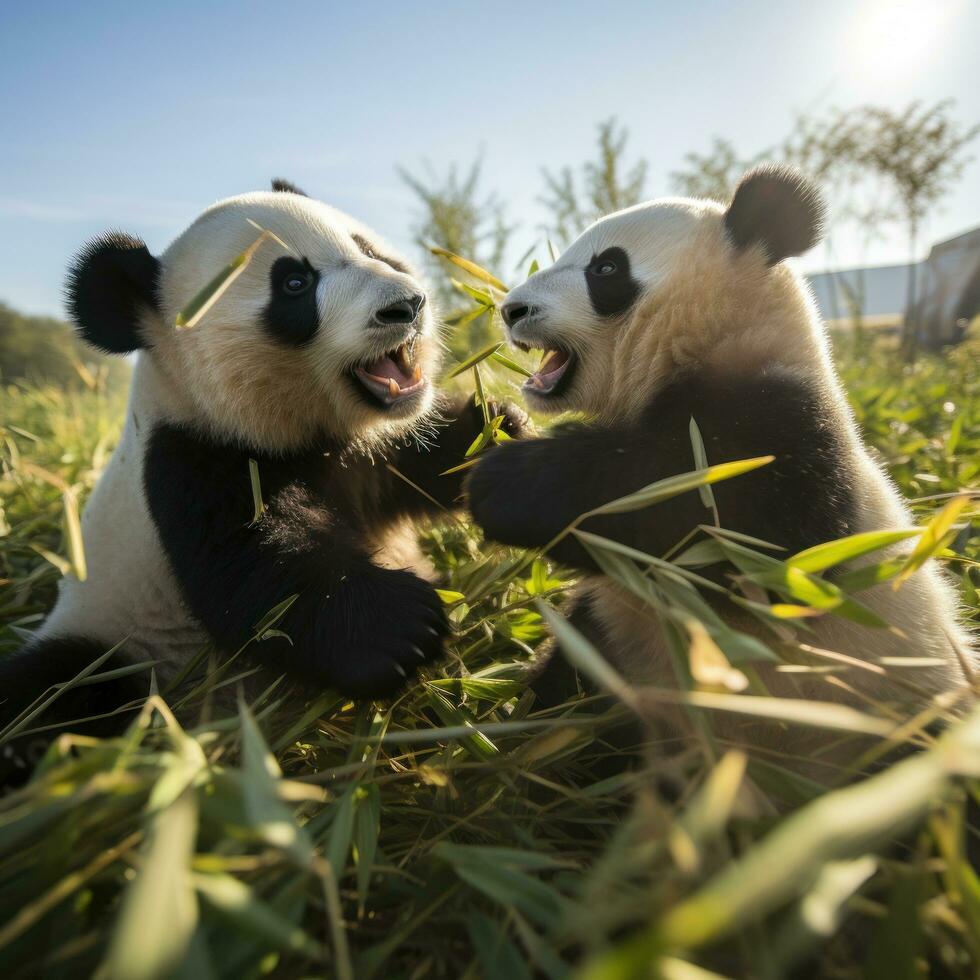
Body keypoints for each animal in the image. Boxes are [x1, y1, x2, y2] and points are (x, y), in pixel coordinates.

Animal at [1, 180, 528, 764]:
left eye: (369, 249)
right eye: (295, 284)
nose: (406, 305)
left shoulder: (373, 451)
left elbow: (431, 460)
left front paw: (504, 431)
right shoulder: (192, 459)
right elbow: (259, 575)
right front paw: (402, 626)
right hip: (122, 646)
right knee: (58, 692)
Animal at [468, 168, 972, 752]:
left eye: (606, 268)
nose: (511, 309)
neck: (719, 340)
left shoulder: (787, 430)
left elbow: (728, 534)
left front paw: (505, 481)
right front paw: (488, 424)